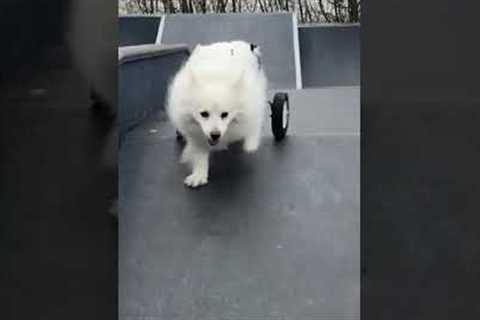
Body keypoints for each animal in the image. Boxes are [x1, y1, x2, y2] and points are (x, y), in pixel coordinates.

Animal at [168, 40, 266, 188]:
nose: (215, 134)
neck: (215, 77)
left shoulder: (251, 104)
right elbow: (200, 156)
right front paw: (199, 175)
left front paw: (251, 145)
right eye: (204, 114)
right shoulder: (197, 134)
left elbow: (253, 123)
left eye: (224, 114)